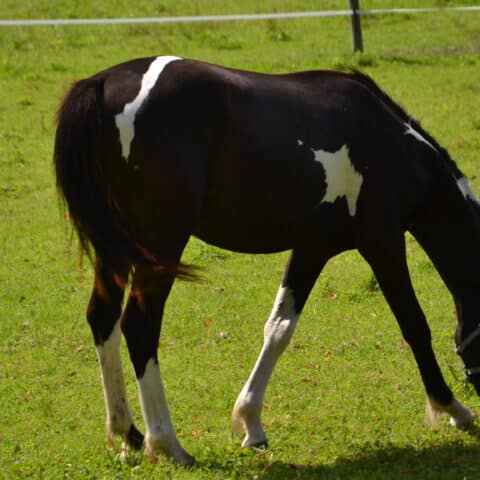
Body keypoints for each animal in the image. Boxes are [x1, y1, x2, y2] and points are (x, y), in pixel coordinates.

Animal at [54, 56, 478, 464]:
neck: (394, 148)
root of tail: (102, 83)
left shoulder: (312, 248)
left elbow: (279, 328)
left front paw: (251, 424)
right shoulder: (383, 243)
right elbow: (414, 325)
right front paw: (452, 408)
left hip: (116, 248)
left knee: (103, 319)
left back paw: (129, 435)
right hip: (159, 247)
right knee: (140, 328)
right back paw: (167, 443)